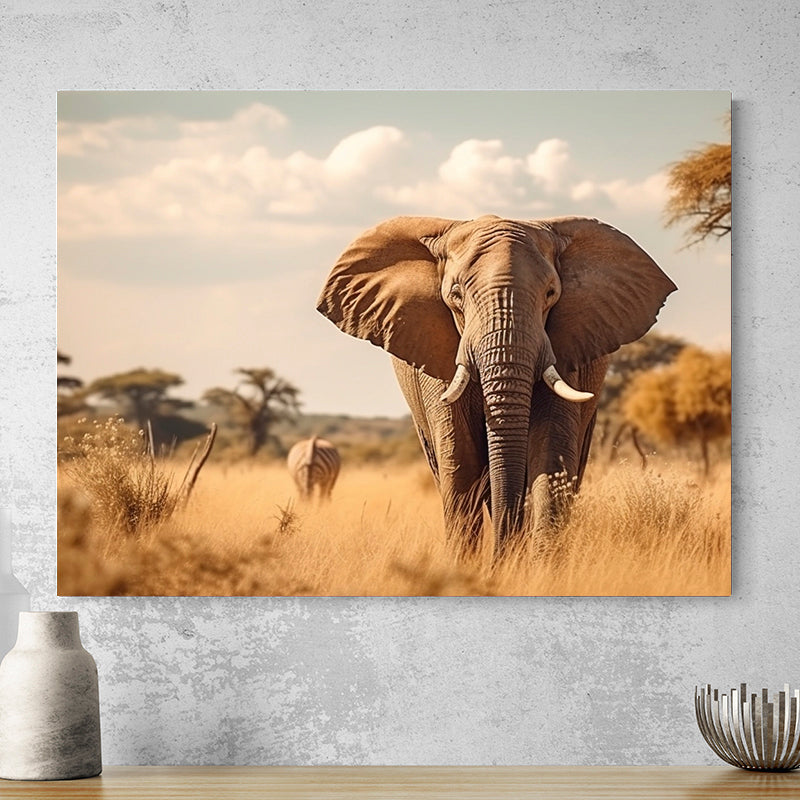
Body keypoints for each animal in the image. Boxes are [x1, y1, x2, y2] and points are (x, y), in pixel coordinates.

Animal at [317, 215, 676, 555]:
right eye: (455, 295)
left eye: (551, 294)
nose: (501, 557)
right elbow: (461, 461)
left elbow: (551, 453)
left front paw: (538, 568)